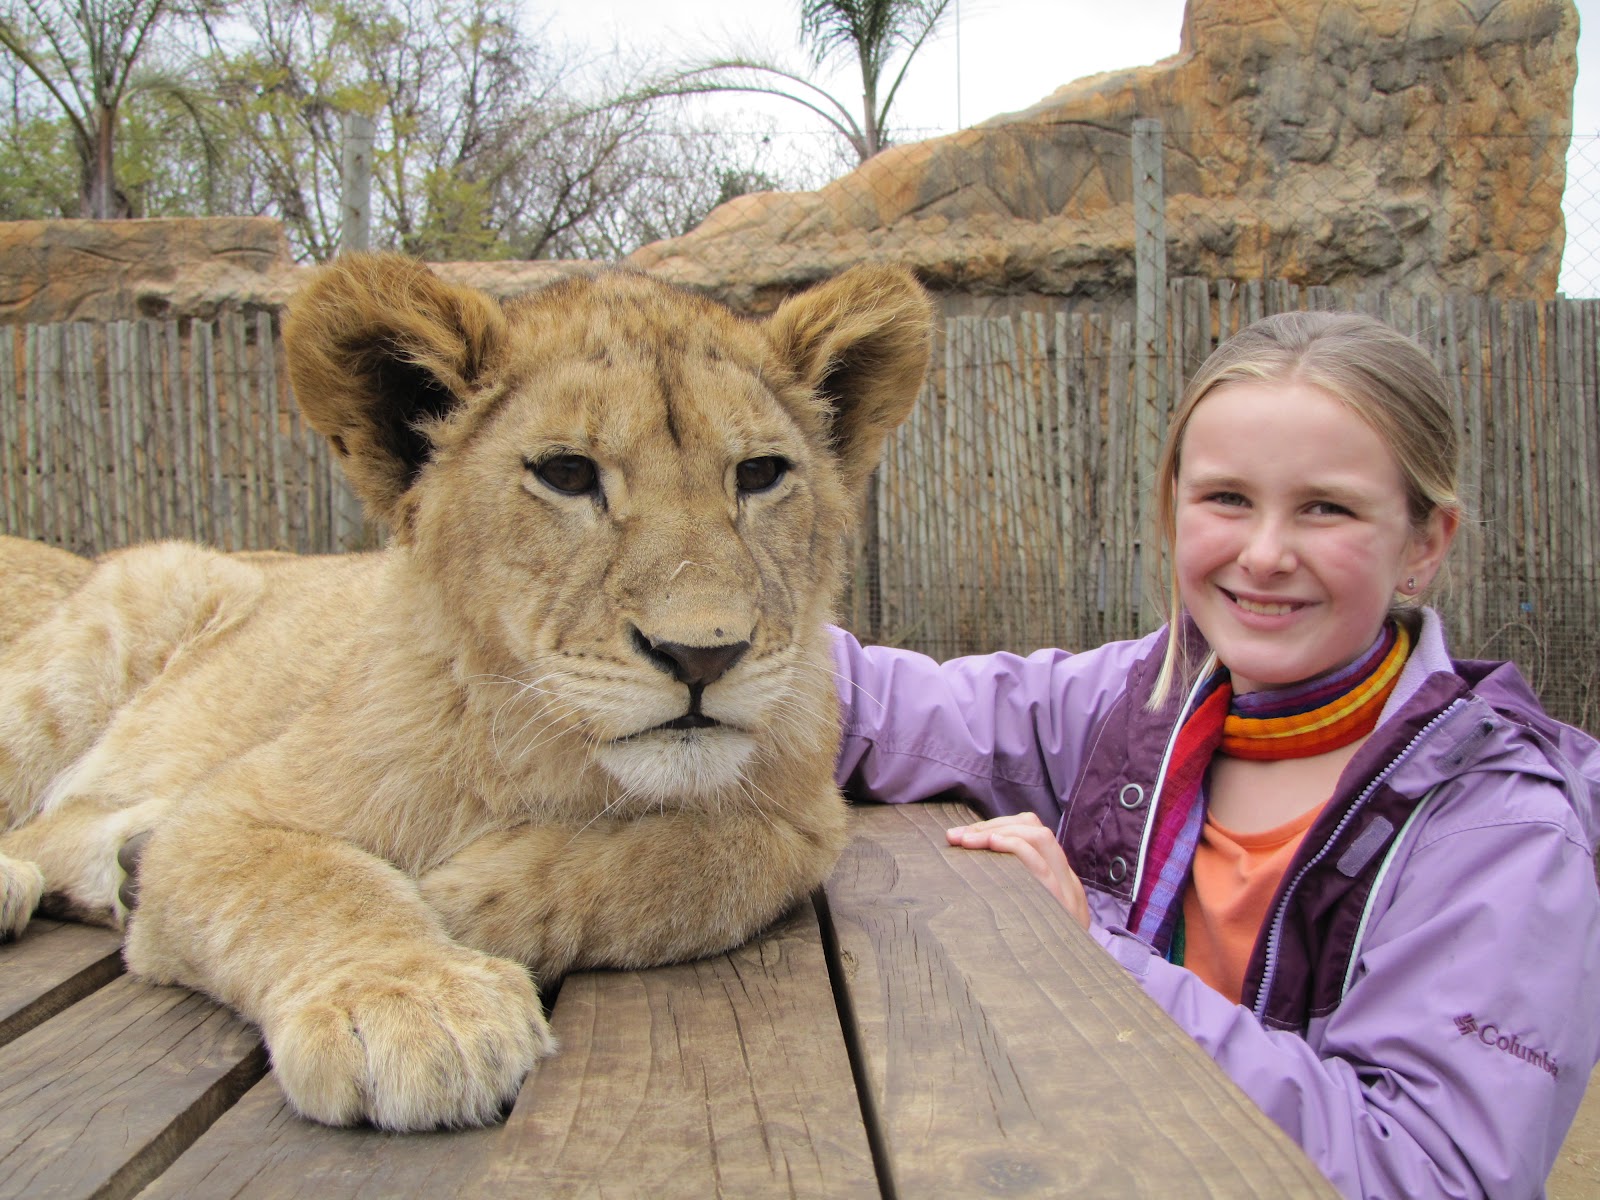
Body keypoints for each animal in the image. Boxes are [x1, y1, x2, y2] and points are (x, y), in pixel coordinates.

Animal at [0, 253, 933, 1131]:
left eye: (761, 474)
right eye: (567, 474)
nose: (702, 656)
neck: (555, 758)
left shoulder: (804, 816)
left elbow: (706, 859)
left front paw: (457, 902)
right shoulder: (222, 816)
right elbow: (308, 884)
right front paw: (411, 1003)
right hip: (120, 625)